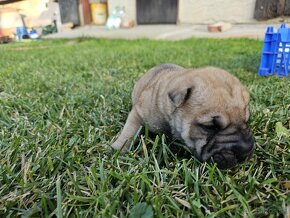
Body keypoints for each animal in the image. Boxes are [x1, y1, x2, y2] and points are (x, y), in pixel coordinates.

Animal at [111, 63, 254, 169]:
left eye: (246, 120)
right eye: (210, 127)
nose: (246, 148)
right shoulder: (138, 112)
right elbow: (129, 130)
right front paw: (118, 149)